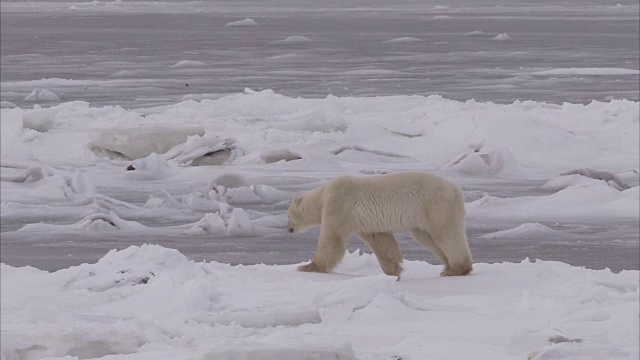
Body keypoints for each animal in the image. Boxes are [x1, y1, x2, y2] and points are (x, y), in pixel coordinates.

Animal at [288, 173, 472, 278]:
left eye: (288, 216)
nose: (288, 229)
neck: (323, 195)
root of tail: (456, 189)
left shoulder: (338, 205)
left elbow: (332, 239)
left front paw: (307, 267)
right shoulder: (364, 221)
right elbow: (380, 239)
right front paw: (393, 269)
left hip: (436, 205)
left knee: (445, 234)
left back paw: (457, 269)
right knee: (428, 237)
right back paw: (448, 267)